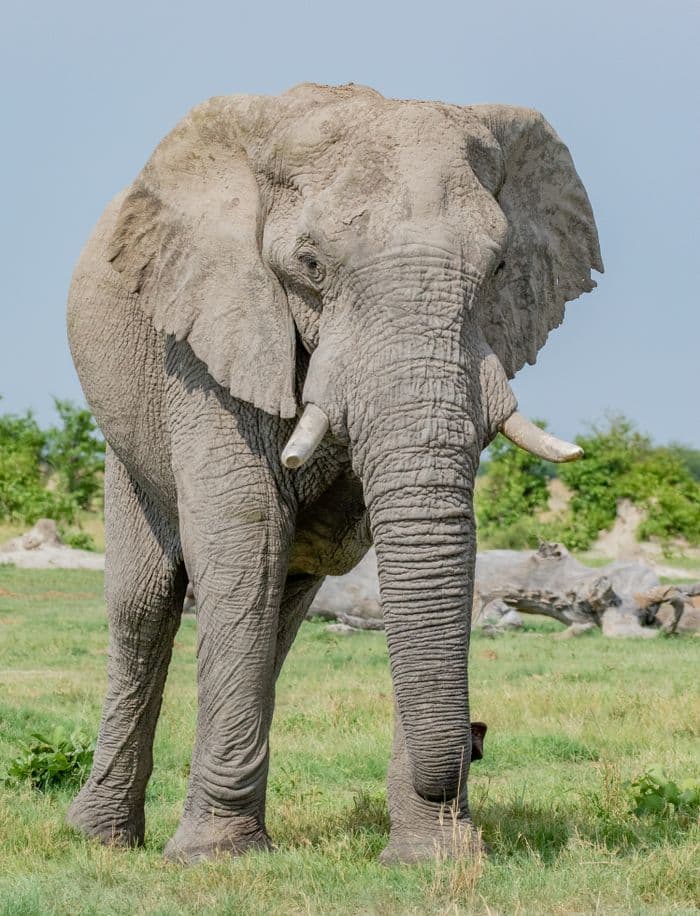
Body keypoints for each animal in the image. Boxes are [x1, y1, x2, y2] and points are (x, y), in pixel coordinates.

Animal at [65, 82, 602, 865]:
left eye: (501, 268)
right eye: (311, 265)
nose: (476, 743)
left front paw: (433, 860)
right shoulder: (207, 341)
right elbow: (245, 531)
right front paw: (214, 860)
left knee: (281, 609)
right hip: (126, 434)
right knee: (144, 608)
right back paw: (100, 839)